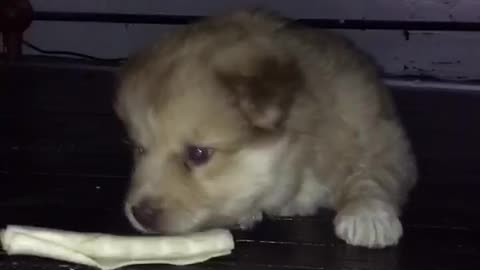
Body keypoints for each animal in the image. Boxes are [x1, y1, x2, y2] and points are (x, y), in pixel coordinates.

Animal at [115, 9, 416, 248]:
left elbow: (371, 175)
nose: (139, 213)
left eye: (198, 154)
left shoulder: (380, 136)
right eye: (138, 148)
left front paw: (368, 214)